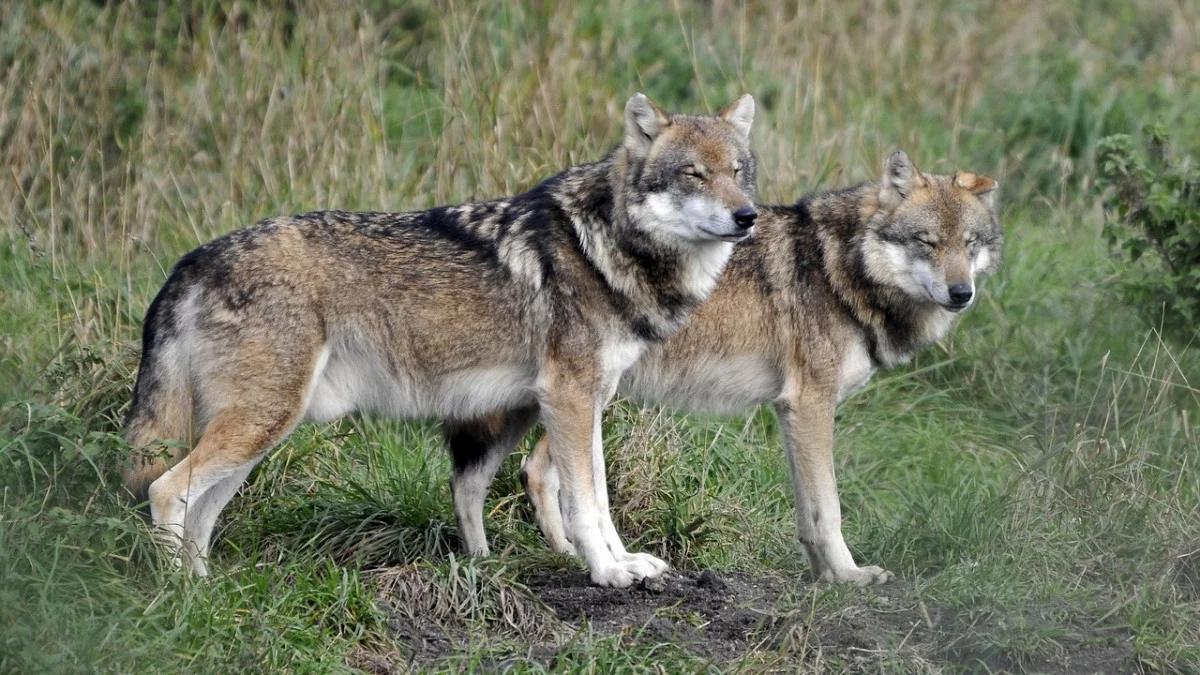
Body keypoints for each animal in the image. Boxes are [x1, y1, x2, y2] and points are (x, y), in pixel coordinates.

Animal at [124, 91, 758, 586]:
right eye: (693, 174)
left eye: (737, 172)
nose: (747, 216)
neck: (601, 246)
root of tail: (192, 259)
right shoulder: (570, 399)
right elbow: (585, 502)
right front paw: (607, 572)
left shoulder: (588, 400)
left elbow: (597, 498)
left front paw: (626, 563)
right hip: (261, 422)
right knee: (165, 491)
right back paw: (182, 595)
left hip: (261, 432)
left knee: (201, 513)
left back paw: (207, 587)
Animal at [451, 149, 1003, 581]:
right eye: (927, 243)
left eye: (970, 244)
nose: (961, 293)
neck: (837, 271)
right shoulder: (810, 405)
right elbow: (828, 510)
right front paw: (849, 576)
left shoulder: (792, 413)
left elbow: (807, 513)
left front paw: (823, 578)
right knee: (515, 474)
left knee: (531, 471)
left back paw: (558, 557)